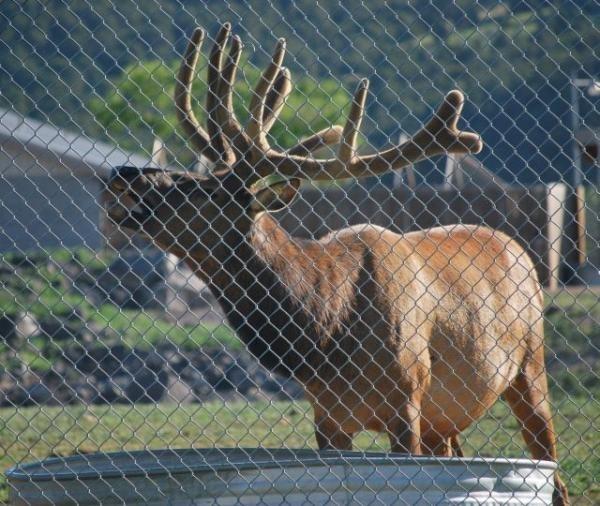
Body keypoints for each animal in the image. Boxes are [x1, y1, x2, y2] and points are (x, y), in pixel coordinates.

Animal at [105, 24, 568, 506]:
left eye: (203, 189)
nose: (124, 172)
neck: (326, 329)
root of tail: (517, 248)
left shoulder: (408, 397)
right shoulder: (327, 415)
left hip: (530, 367)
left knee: (556, 473)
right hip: (446, 417)